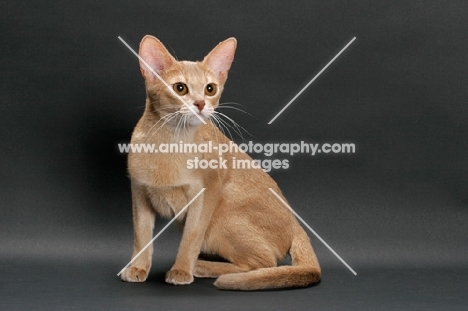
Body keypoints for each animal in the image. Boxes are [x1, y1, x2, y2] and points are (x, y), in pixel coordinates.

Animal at [119, 36, 320, 292]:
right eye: (180, 88)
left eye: (210, 89)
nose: (200, 103)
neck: (170, 141)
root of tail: (296, 224)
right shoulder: (139, 192)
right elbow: (141, 236)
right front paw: (137, 268)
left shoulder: (207, 191)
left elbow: (191, 236)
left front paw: (181, 270)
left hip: (223, 213)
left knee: (264, 263)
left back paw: (202, 266)